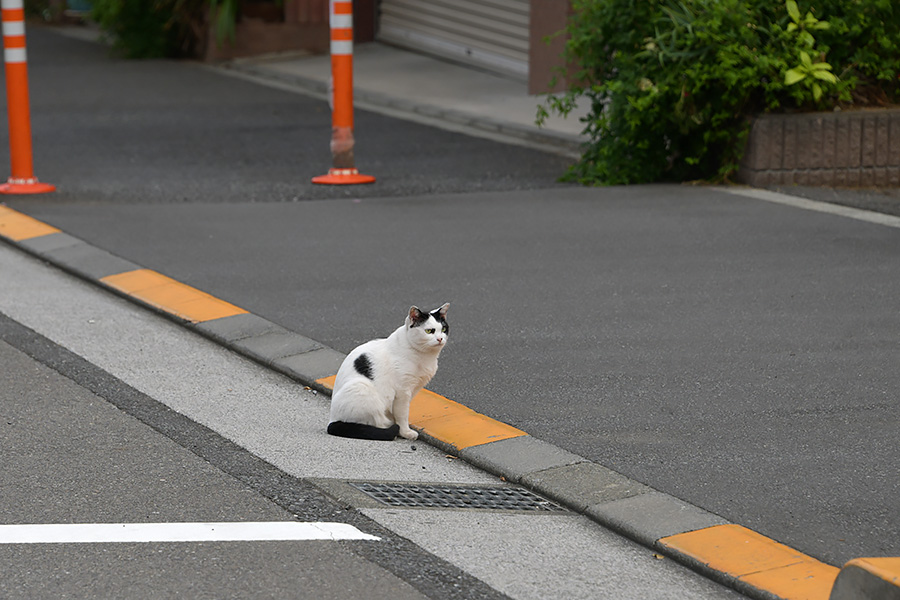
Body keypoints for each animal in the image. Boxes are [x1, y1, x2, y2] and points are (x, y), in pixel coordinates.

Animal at [326, 304, 450, 440]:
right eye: (429, 331)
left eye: (443, 329)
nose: (440, 338)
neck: (425, 356)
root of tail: (332, 420)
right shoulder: (402, 392)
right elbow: (403, 414)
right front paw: (405, 432)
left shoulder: (413, 389)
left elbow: (399, 412)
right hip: (363, 388)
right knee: (375, 422)